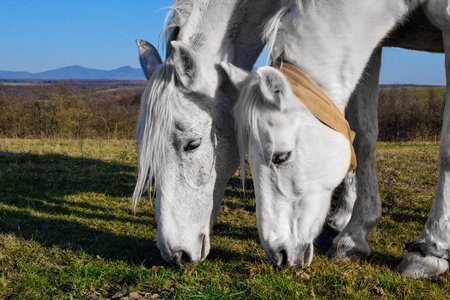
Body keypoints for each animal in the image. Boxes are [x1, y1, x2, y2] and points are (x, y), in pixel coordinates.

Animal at [223, 0, 450, 278]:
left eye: (281, 156)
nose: (278, 255)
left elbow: (447, 150)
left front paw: (429, 252)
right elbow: (362, 137)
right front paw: (352, 238)